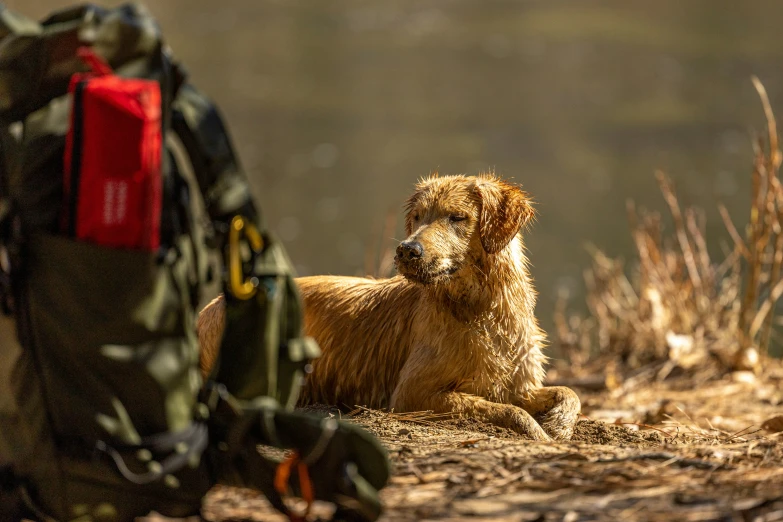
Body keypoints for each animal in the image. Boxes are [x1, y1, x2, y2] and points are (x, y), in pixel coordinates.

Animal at [199, 173, 580, 436]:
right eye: (419, 216)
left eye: (457, 217)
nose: (407, 250)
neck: (482, 311)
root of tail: (207, 308)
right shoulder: (412, 393)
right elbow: (508, 411)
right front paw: (541, 433)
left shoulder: (518, 385)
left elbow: (569, 393)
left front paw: (558, 425)